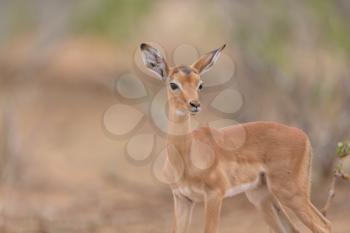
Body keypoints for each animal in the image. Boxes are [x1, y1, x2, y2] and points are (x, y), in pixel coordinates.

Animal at [139, 43, 330, 233]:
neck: (186, 157)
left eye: (200, 84)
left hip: (290, 193)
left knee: (324, 225)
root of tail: (303, 136)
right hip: (262, 196)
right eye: (173, 84)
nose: (195, 104)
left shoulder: (214, 195)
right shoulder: (182, 199)